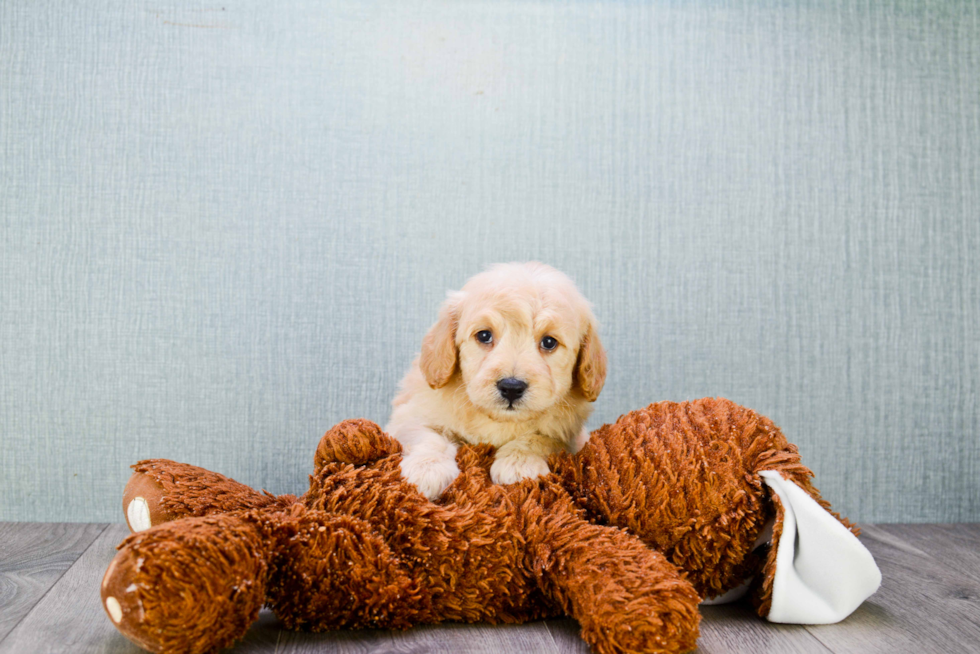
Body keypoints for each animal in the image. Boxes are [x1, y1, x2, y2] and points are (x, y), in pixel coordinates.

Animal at [384, 264, 604, 500]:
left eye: (549, 342)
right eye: (484, 335)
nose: (511, 387)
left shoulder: (568, 435)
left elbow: (540, 439)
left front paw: (519, 463)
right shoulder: (409, 414)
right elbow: (427, 436)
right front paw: (427, 468)